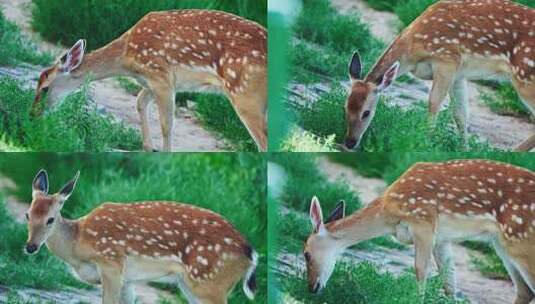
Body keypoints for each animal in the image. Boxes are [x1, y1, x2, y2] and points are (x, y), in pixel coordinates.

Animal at [25, 170, 260, 302]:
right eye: (28, 214)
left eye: (50, 219)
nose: (30, 246)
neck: (78, 245)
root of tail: (251, 253)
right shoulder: (127, 280)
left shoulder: (111, 263)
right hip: (192, 286)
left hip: (211, 284)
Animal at [33, 8, 268, 151]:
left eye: (44, 88)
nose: (32, 114)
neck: (126, 57)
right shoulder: (151, 80)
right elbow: (139, 101)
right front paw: (148, 147)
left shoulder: (160, 76)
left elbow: (166, 124)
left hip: (245, 92)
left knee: (263, 141)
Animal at [306, 160, 535, 302]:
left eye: (306, 254)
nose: (311, 288)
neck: (387, 214)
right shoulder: (442, 238)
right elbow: (449, 281)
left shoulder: (423, 221)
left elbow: (420, 271)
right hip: (502, 245)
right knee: (525, 292)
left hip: (521, 241)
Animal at [344, 0, 535, 151]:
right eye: (345, 107)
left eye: (366, 112)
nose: (349, 142)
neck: (412, 51)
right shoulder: (459, 73)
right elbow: (460, 113)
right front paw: (464, 150)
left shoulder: (446, 59)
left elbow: (434, 103)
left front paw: (425, 141)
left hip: (524, 77)